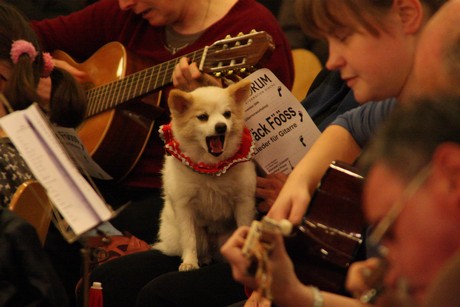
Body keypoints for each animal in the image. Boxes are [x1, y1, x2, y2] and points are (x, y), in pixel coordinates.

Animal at [154, 79, 255, 272]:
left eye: (227, 114)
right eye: (202, 117)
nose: (221, 126)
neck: (211, 167)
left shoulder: (243, 202)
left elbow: (244, 229)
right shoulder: (184, 206)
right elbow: (188, 239)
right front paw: (190, 262)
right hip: (194, 236)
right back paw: (204, 258)